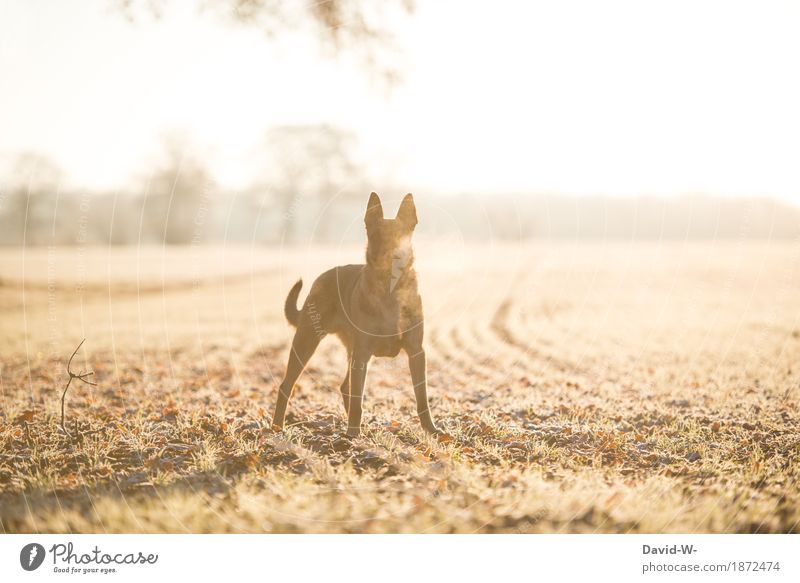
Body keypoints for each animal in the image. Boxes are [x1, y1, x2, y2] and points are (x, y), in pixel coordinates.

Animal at [272, 193, 440, 438]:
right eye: (375, 235)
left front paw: (431, 429)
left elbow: (422, 398)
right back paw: (277, 426)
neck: (389, 290)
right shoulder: (363, 354)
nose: (384, 255)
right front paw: (352, 434)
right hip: (307, 341)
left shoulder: (416, 352)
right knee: (287, 385)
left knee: (345, 387)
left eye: (398, 236)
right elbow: (358, 399)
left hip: (346, 350)